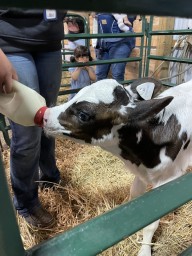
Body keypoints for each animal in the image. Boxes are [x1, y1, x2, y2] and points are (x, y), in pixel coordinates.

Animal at [43, 78, 192, 256]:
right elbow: (137, 199)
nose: (45, 115)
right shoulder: (140, 175)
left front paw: (144, 250)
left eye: (83, 115)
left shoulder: (169, 179)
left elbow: (151, 222)